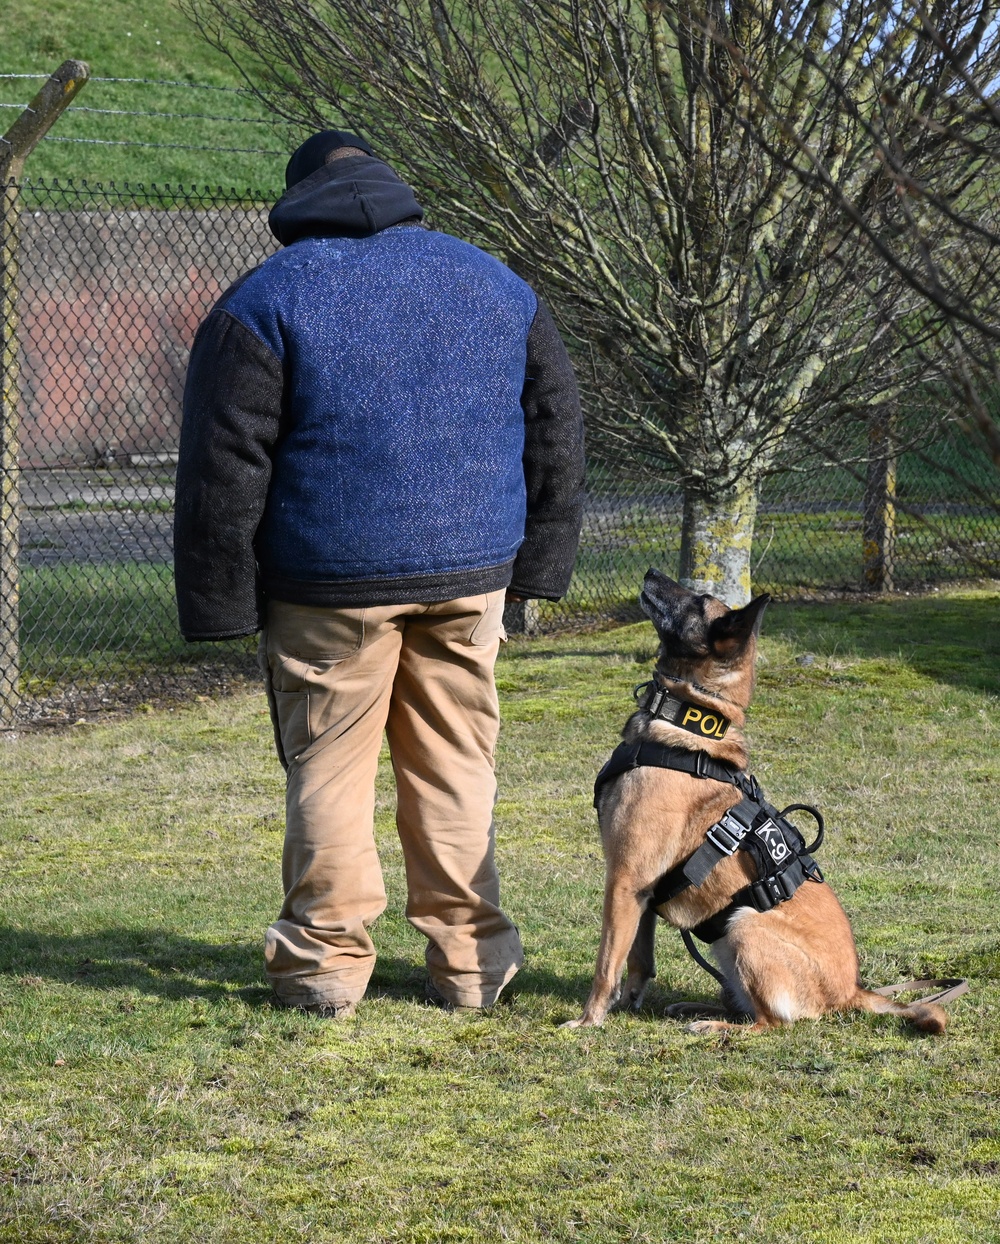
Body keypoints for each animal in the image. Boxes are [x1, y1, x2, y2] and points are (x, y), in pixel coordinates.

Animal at [567, 569, 950, 1035]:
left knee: (771, 1022)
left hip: (744, 926)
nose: (651, 573)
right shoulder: (641, 891)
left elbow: (607, 964)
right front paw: (627, 1004)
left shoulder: (623, 881)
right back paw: (700, 1009)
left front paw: (589, 1019)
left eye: (700, 600)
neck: (690, 725)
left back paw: (715, 1027)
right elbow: (638, 959)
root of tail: (852, 992)